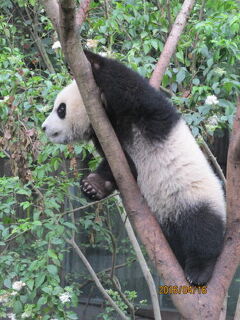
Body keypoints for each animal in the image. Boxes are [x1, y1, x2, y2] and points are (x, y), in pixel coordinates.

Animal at [42, 50, 226, 284]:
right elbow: (123, 166)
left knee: (202, 230)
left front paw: (90, 59)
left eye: (61, 109)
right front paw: (93, 186)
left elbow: (130, 86)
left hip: (194, 197)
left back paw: (198, 271)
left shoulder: (145, 111)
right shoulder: (108, 138)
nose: (44, 127)